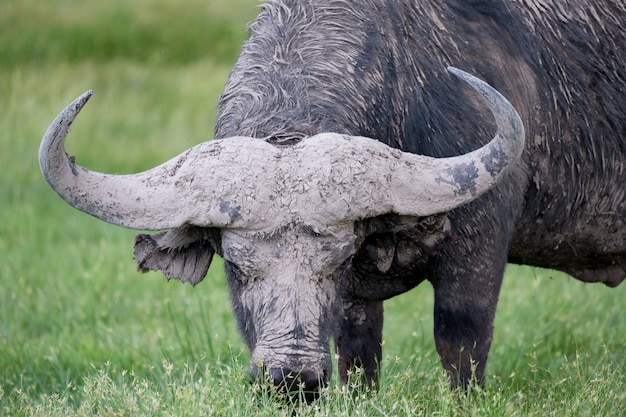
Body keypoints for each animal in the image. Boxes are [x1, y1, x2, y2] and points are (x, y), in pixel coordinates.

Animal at [40, 0, 624, 396]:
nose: (292, 377)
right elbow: (359, 355)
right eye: (236, 265)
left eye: (336, 260)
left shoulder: (478, 243)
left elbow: (461, 340)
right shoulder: (355, 308)